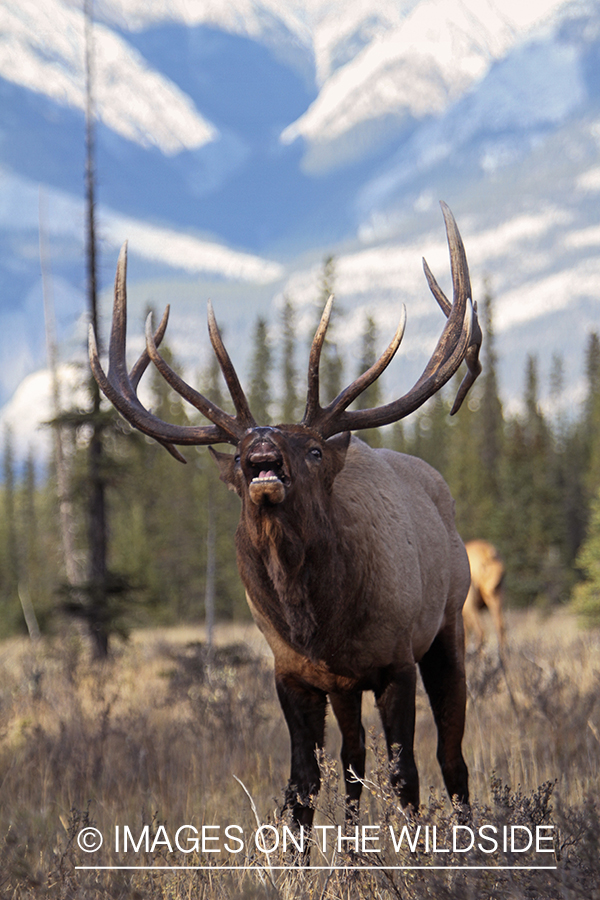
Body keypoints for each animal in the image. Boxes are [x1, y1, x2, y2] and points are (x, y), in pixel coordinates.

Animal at [90, 202, 482, 824]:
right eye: (235, 460)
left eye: (314, 449)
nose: (260, 452)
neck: (320, 623)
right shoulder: (295, 673)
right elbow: (302, 785)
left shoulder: (395, 660)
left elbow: (405, 779)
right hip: (348, 687)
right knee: (353, 761)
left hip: (449, 623)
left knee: (451, 756)